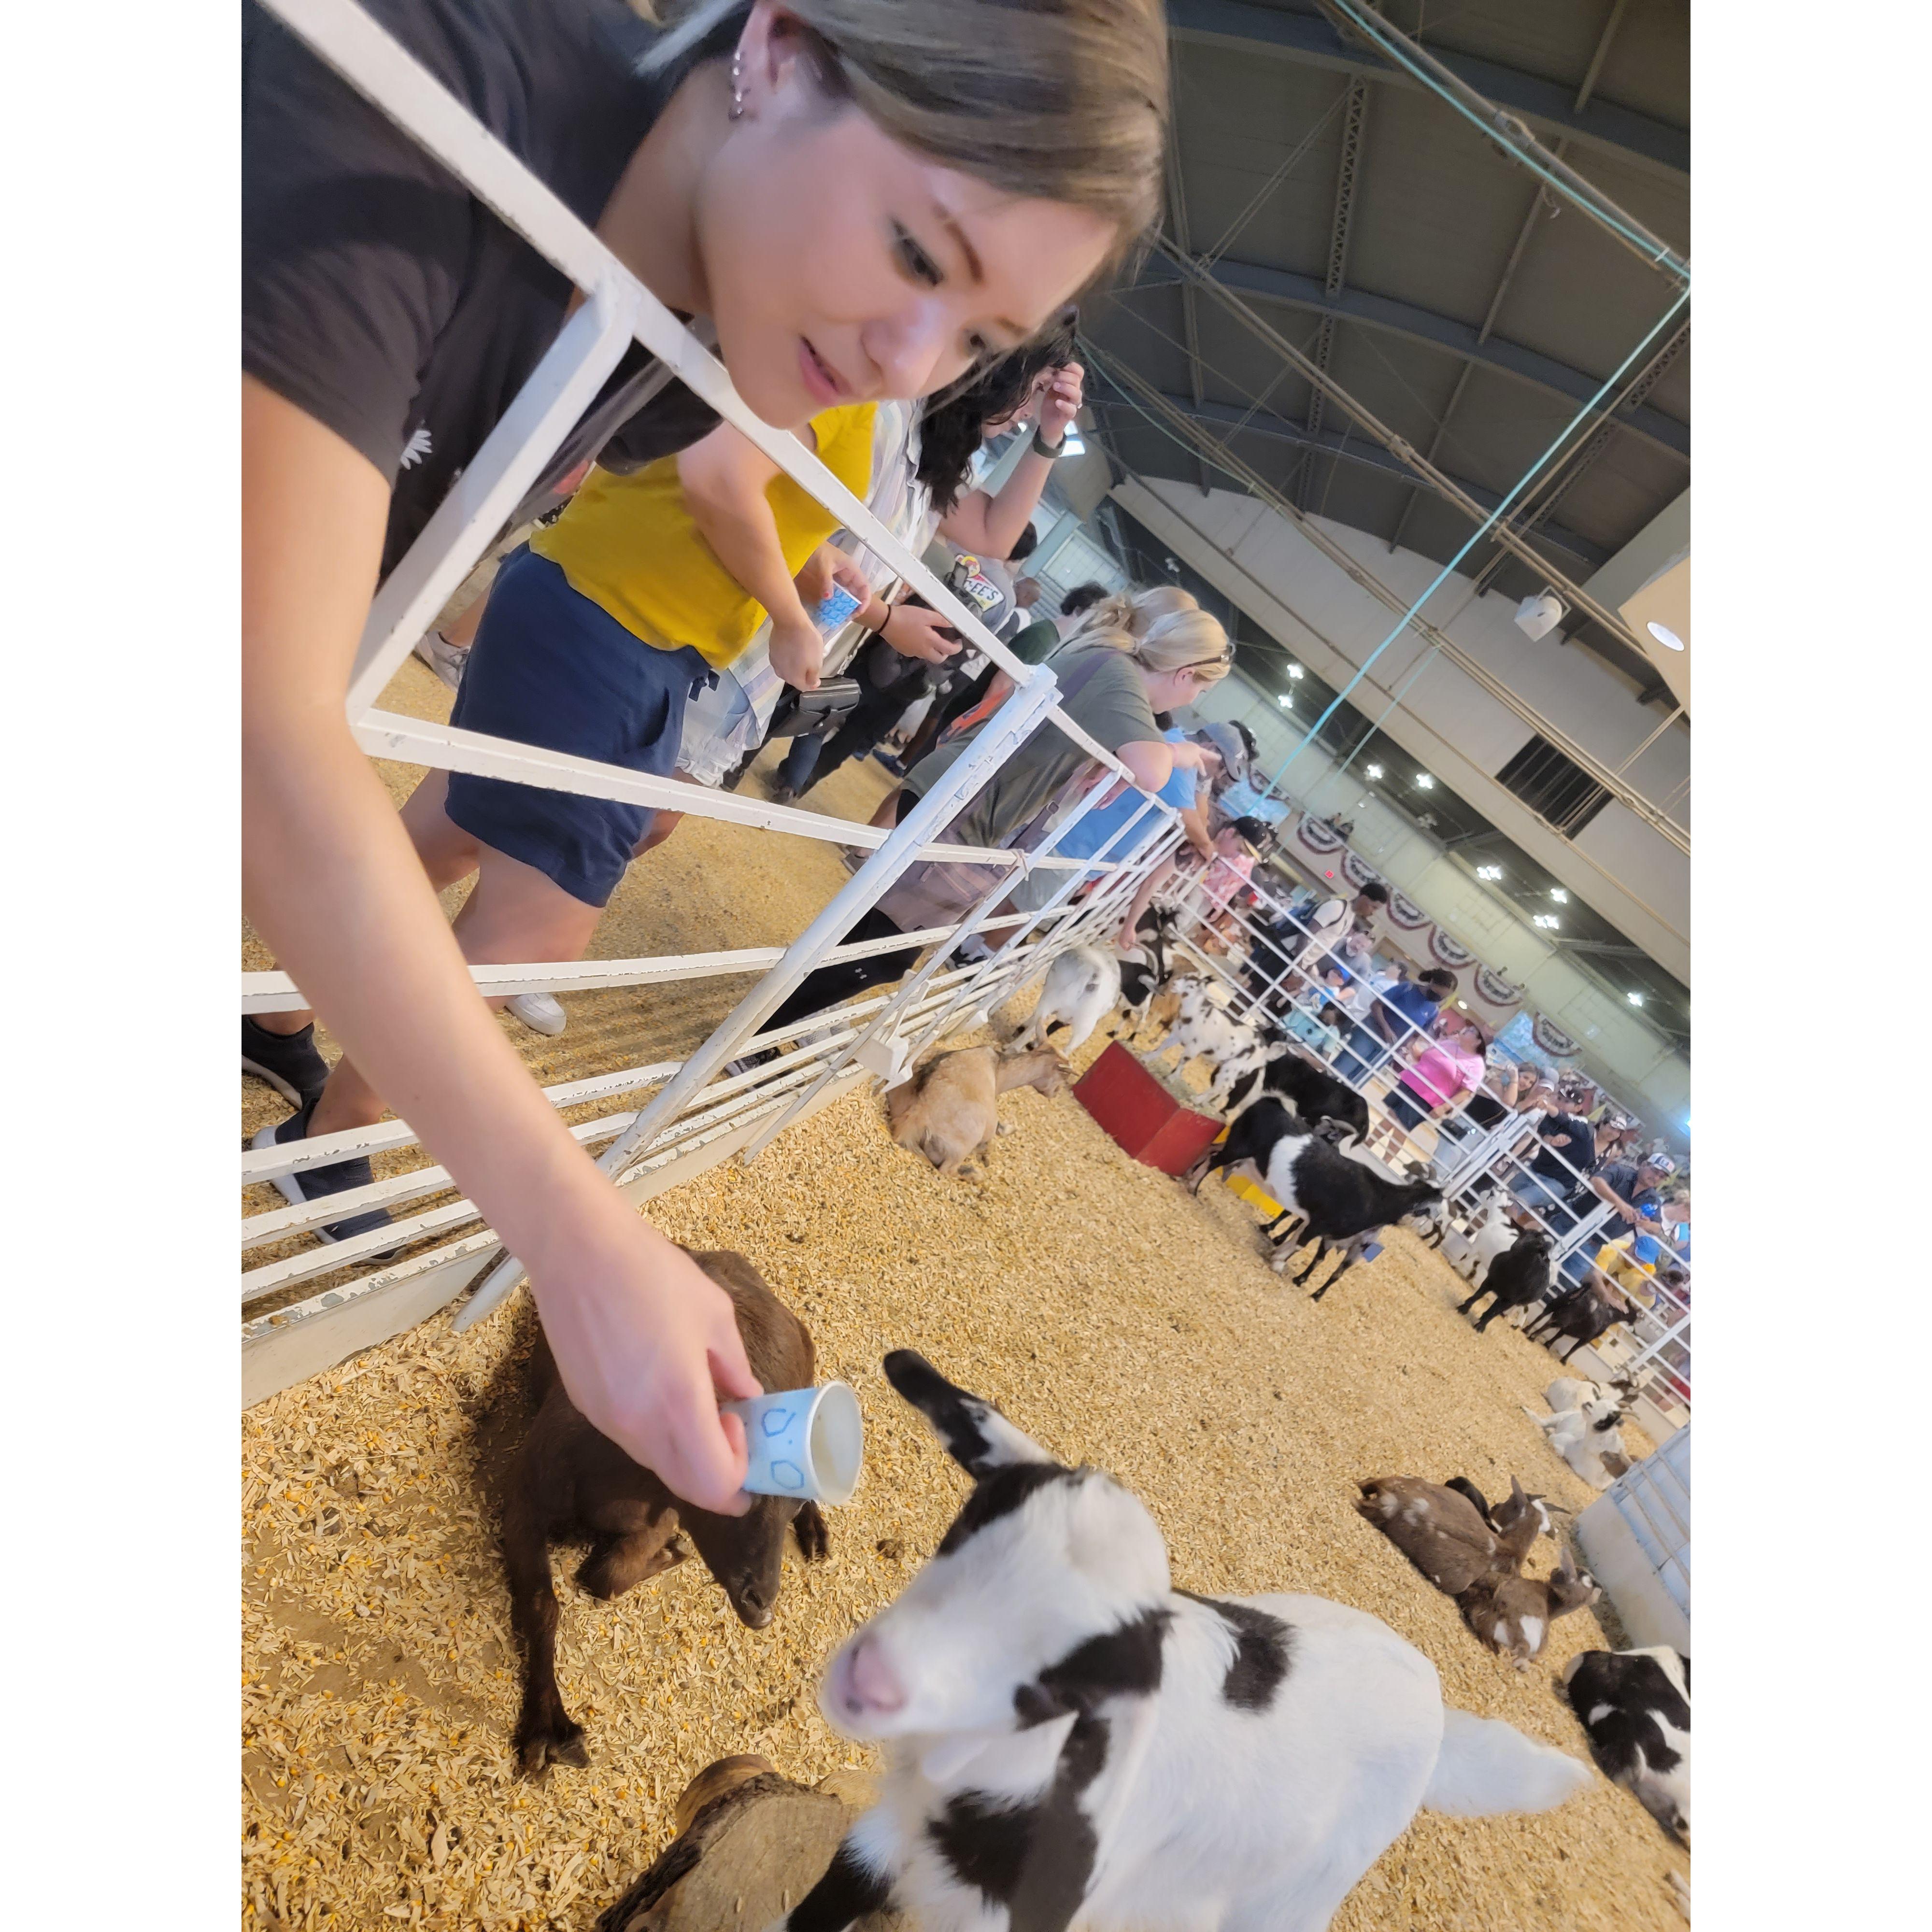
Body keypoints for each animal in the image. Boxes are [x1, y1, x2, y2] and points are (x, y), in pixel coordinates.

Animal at [502, 1252, 827, 1777]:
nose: (761, 1606)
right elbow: (543, 1602)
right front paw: (547, 1731)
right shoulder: (524, 1495)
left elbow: (606, 1576)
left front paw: (670, 1555)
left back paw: (817, 1534)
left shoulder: (660, 1517)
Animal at [777, 1352, 1592, 1932]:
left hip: (1290, 1904)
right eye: (973, 1521)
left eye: (1075, 1678)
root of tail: (1433, 1697)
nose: (872, 1680)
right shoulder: (888, 1829)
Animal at [881, 1043, 1066, 1175]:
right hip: (959, 1152)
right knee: (948, 1171)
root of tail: (916, 1118)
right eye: (1061, 1077)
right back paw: (974, 1172)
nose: (1055, 1093)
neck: (999, 1071)